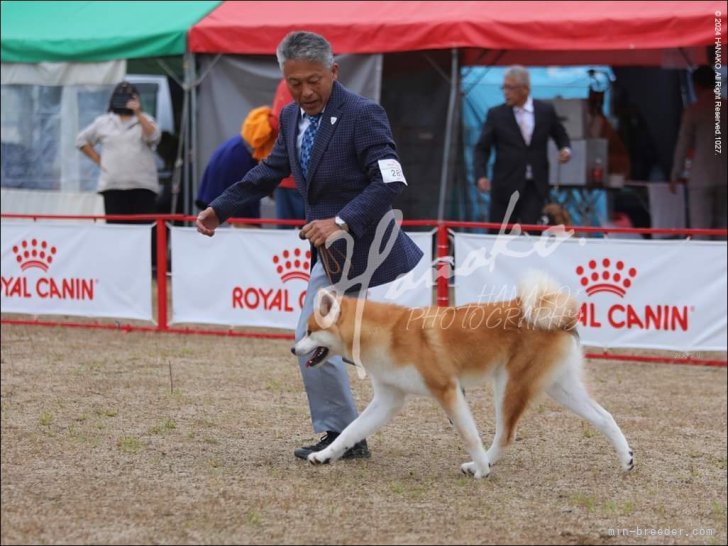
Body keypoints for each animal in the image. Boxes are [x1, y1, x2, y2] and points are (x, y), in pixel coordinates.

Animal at [292, 270, 636, 478]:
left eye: (309, 332)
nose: (294, 349)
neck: (386, 334)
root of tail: (559, 317)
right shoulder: (388, 399)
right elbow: (351, 431)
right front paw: (325, 456)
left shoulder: (447, 390)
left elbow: (469, 434)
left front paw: (483, 470)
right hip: (559, 387)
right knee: (605, 417)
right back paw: (627, 458)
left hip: (509, 386)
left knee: (506, 435)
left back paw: (482, 463)